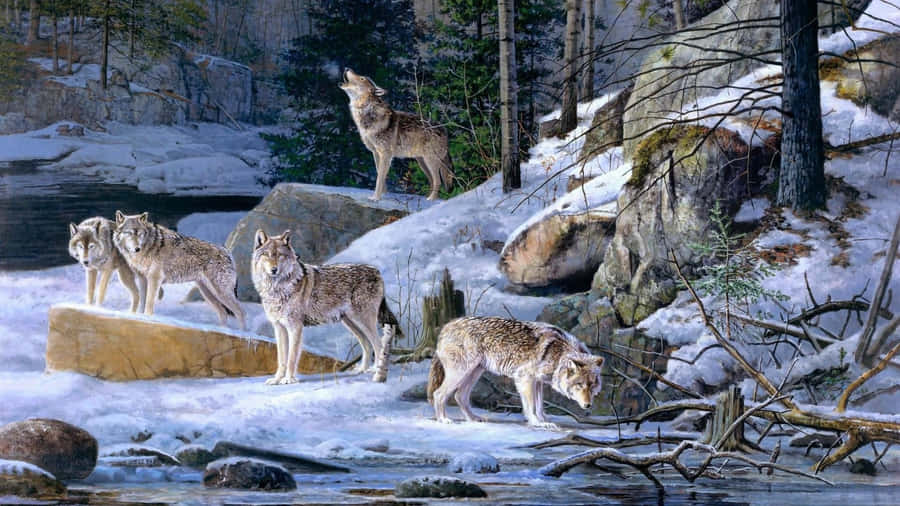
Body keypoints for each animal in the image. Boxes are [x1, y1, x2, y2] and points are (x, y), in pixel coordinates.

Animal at [112, 211, 246, 330]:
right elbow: (142, 303)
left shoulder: (155, 279)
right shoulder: (142, 279)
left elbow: (149, 304)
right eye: (129, 233)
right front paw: (140, 318)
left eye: (140, 234)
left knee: (240, 312)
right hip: (207, 293)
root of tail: (227, 251)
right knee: (223, 312)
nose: (137, 249)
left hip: (220, 292)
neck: (147, 247)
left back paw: (242, 334)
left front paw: (148, 319)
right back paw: (223, 331)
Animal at [252, 229, 399, 385]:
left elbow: (291, 357)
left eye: (280, 255)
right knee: (367, 344)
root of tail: (377, 271)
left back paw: (377, 373)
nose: (274, 270)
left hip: (363, 321)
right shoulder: (279, 327)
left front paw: (288, 379)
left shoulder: (295, 327)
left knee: (379, 344)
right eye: (267, 254)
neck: (277, 288)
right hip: (351, 323)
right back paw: (361, 370)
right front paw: (276, 379)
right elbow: (281, 358)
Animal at [339, 68, 453, 201]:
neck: (366, 110)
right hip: (422, 162)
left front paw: (375, 198)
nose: (347, 68)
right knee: (432, 180)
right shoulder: (376, 153)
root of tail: (444, 130)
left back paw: (431, 199)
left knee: (438, 181)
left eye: (362, 78)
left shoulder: (386, 154)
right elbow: (380, 175)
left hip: (430, 161)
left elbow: (379, 178)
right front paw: (383, 194)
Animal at [427, 316, 604, 430]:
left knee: (460, 396)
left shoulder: (537, 381)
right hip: (461, 372)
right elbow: (531, 406)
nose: (588, 405)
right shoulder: (524, 378)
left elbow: (539, 406)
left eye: (592, 386)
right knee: (439, 394)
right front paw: (537, 423)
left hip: (474, 372)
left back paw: (473, 419)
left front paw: (544, 420)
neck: (558, 354)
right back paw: (443, 419)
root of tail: (445, 327)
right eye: (579, 384)